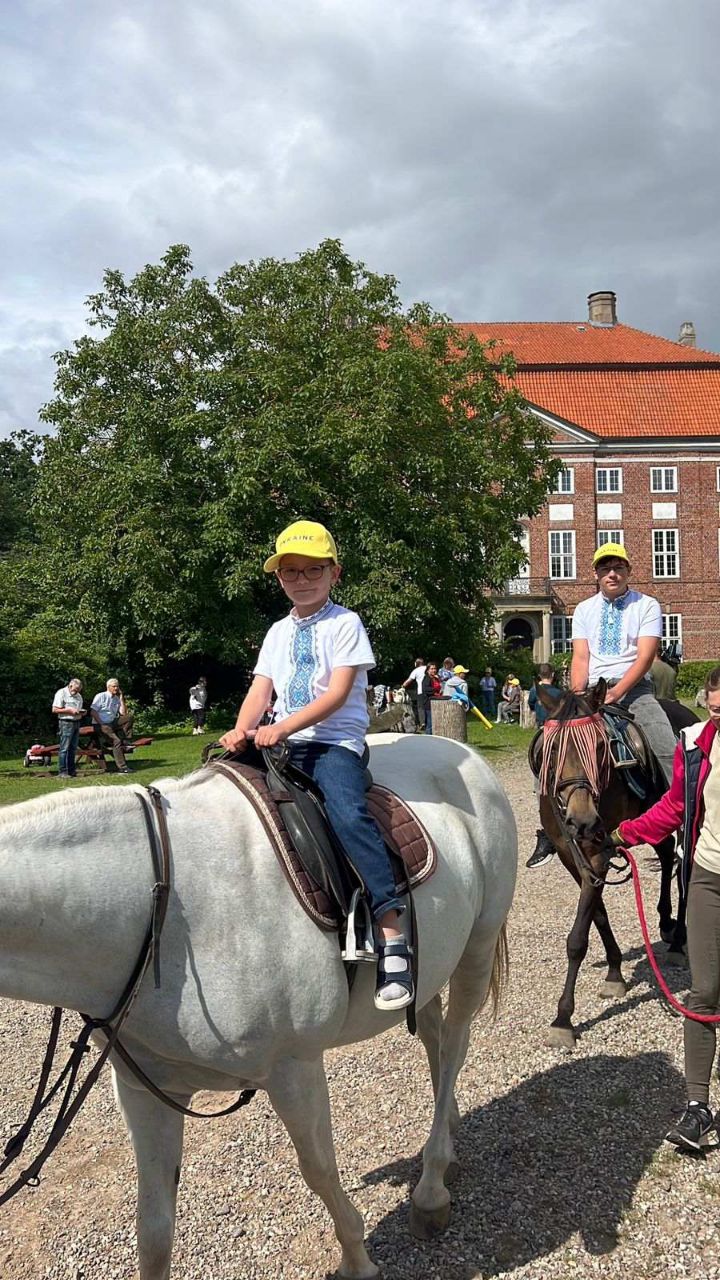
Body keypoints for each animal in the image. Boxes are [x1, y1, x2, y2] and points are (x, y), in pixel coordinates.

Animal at [0, 733, 516, 1280]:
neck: (169, 917)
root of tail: (460, 749)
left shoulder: (293, 1069)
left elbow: (318, 1170)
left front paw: (358, 1261)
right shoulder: (145, 1090)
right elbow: (154, 1230)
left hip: (478, 945)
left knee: (456, 1042)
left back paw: (432, 1185)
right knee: (437, 1041)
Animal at [534, 681, 698, 1051]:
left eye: (599, 747)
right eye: (553, 749)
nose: (581, 820)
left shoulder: (598, 852)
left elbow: (577, 938)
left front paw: (563, 1018)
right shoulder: (572, 854)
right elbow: (597, 915)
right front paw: (614, 971)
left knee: (683, 866)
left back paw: (678, 939)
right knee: (667, 855)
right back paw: (665, 922)